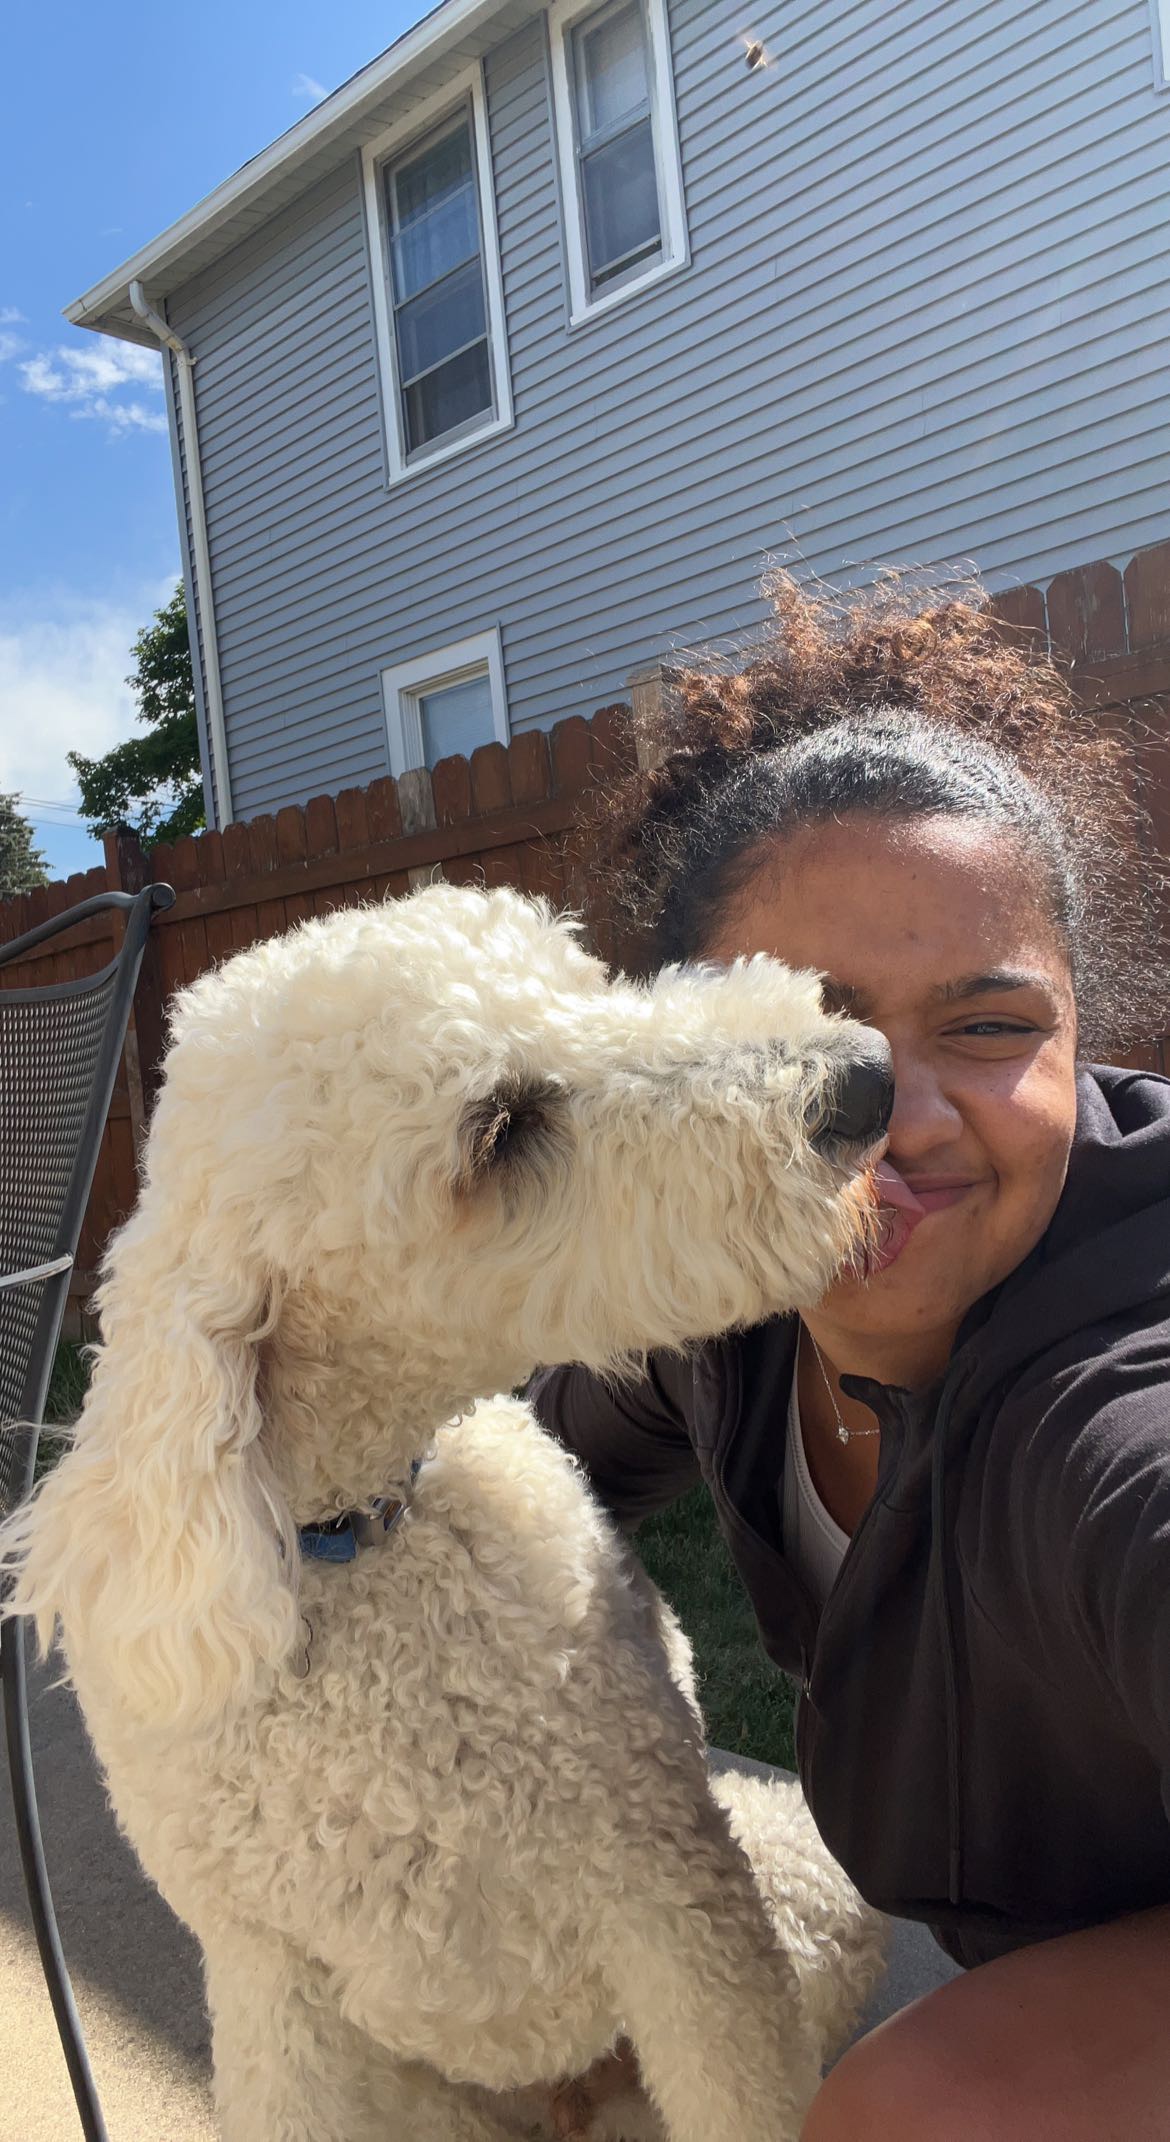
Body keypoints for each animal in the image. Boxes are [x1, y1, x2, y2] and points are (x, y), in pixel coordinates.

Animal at [4, 886, 887, 2142]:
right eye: (501, 1128)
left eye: (588, 985)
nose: (866, 1079)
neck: (364, 1542)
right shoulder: (272, 1986)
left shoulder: (676, 1902)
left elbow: (742, 2092)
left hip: (781, 1856)